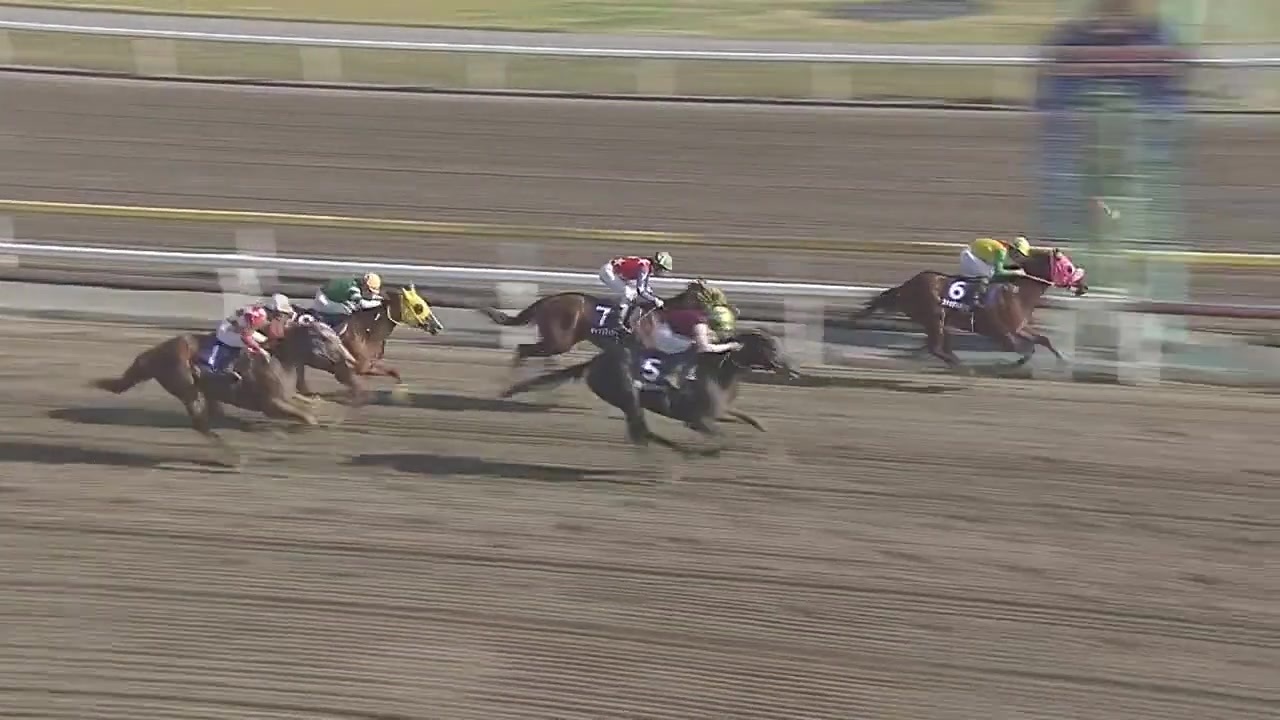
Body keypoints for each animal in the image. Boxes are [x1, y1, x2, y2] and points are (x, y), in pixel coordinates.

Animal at [91, 316, 352, 458]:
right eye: (324, 339)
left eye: (336, 336)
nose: (348, 360)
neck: (280, 357)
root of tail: (154, 352)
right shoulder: (271, 403)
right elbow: (307, 418)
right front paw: (293, 430)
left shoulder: (288, 394)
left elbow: (316, 403)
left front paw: (335, 417)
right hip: (187, 387)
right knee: (202, 425)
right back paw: (234, 455)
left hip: (208, 391)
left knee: (215, 416)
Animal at [297, 284, 444, 398]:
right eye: (419, 307)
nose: (437, 326)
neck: (367, 328)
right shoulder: (360, 366)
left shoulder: (367, 365)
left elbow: (395, 373)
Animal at [500, 329, 797, 457]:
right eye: (770, 347)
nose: (792, 369)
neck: (716, 369)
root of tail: (594, 362)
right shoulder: (696, 419)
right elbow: (722, 436)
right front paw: (713, 450)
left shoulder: (717, 409)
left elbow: (741, 417)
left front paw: (763, 428)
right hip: (627, 395)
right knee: (641, 431)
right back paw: (677, 452)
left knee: (640, 432)